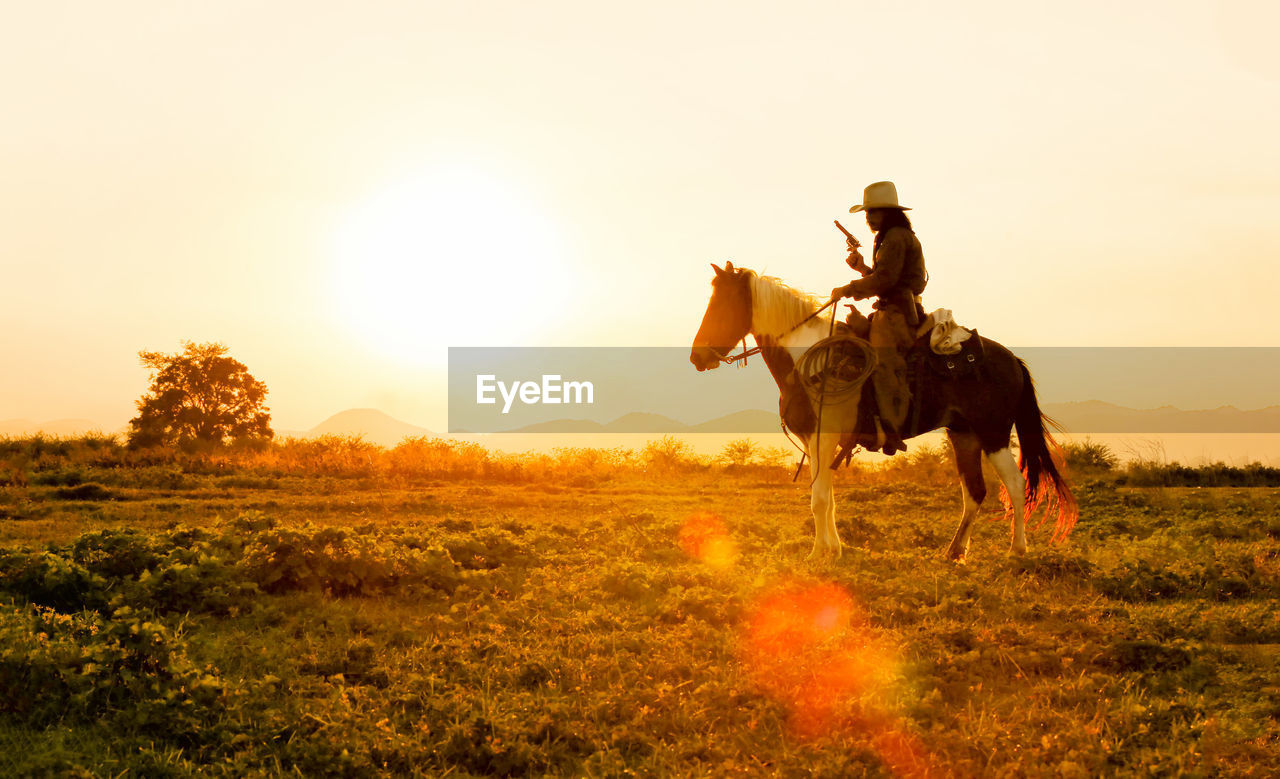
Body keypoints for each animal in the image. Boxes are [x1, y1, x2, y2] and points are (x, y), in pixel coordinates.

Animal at [686, 260, 1075, 557]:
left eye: (721, 305)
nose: (697, 357)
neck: (809, 361)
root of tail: (1011, 359)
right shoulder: (814, 439)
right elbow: (826, 496)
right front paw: (833, 549)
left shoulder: (824, 436)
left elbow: (819, 499)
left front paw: (818, 554)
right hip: (963, 436)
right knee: (974, 492)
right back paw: (954, 552)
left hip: (992, 434)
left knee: (1014, 484)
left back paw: (1017, 549)